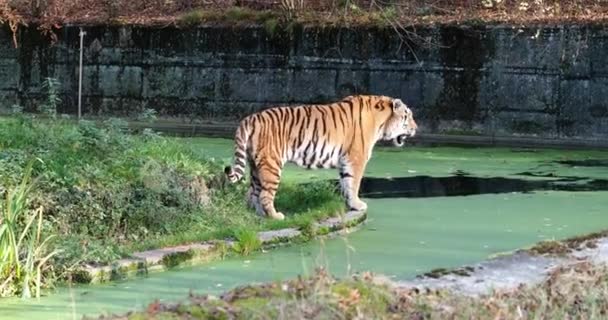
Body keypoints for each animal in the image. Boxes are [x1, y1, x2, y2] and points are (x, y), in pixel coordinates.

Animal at [223, 95, 418, 220]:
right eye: (407, 116)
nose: (416, 128)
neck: (382, 121)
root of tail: (250, 118)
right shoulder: (356, 158)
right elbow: (354, 183)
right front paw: (357, 204)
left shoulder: (345, 161)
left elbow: (346, 183)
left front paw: (349, 204)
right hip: (272, 164)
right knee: (264, 195)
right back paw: (275, 216)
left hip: (255, 166)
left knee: (252, 193)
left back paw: (259, 215)